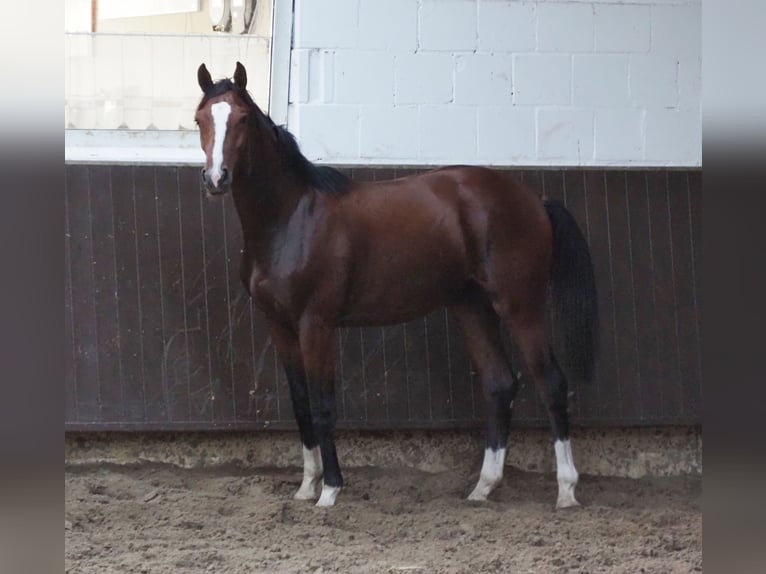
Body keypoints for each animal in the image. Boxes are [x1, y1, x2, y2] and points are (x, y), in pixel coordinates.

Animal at [194, 63, 600, 510]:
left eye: (242, 119)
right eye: (200, 119)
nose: (216, 178)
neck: (291, 217)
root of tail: (534, 200)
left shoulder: (316, 324)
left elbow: (322, 405)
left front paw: (330, 490)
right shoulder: (279, 325)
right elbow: (301, 404)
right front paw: (306, 486)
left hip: (519, 305)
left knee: (551, 383)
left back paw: (566, 491)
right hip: (471, 306)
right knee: (499, 384)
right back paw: (483, 488)